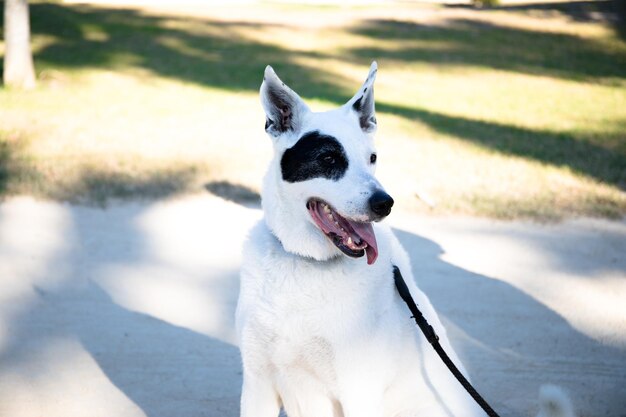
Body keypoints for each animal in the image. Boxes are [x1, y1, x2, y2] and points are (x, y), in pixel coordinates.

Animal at [234, 61, 572, 416]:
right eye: (328, 159)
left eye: (372, 158)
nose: (384, 203)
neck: (305, 264)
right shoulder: (258, 383)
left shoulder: (358, 392)